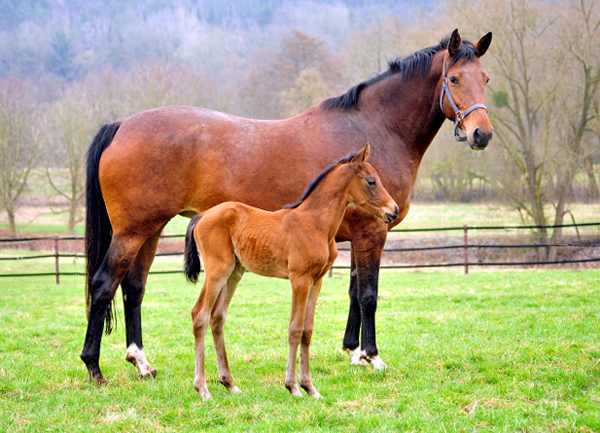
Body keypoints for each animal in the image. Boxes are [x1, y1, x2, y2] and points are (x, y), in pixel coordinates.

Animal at [81, 29, 492, 382]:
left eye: (485, 78)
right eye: (455, 79)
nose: (481, 134)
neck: (376, 128)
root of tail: (121, 125)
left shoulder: (358, 235)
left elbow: (354, 292)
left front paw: (353, 351)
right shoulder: (372, 232)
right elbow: (369, 295)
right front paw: (372, 356)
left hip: (149, 230)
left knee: (133, 287)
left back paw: (141, 362)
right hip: (132, 232)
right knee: (104, 284)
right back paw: (94, 367)